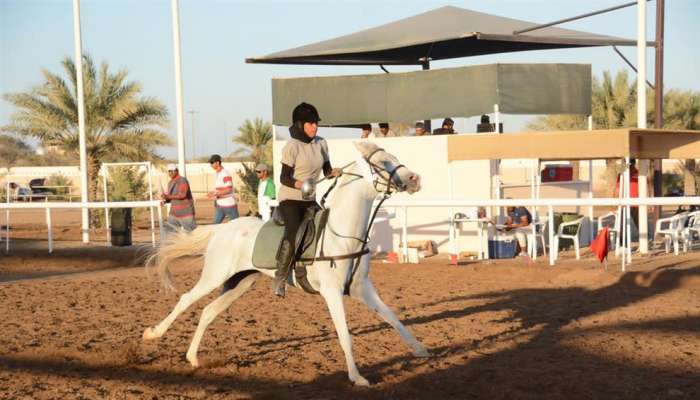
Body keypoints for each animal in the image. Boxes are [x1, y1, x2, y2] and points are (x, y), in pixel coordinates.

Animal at [142, 142, 426, 386]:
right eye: (383, 162)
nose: (415, 179)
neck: (342, 235)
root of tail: (223, 228)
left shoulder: (361, 288)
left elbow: (392, 317)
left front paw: (420, 349)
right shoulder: (332, 293)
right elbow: (345, 335)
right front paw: (357, 378)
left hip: (240, 282)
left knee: (208, 311)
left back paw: (193, 358)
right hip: (215, 276)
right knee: (186, 300)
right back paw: (152, 334)